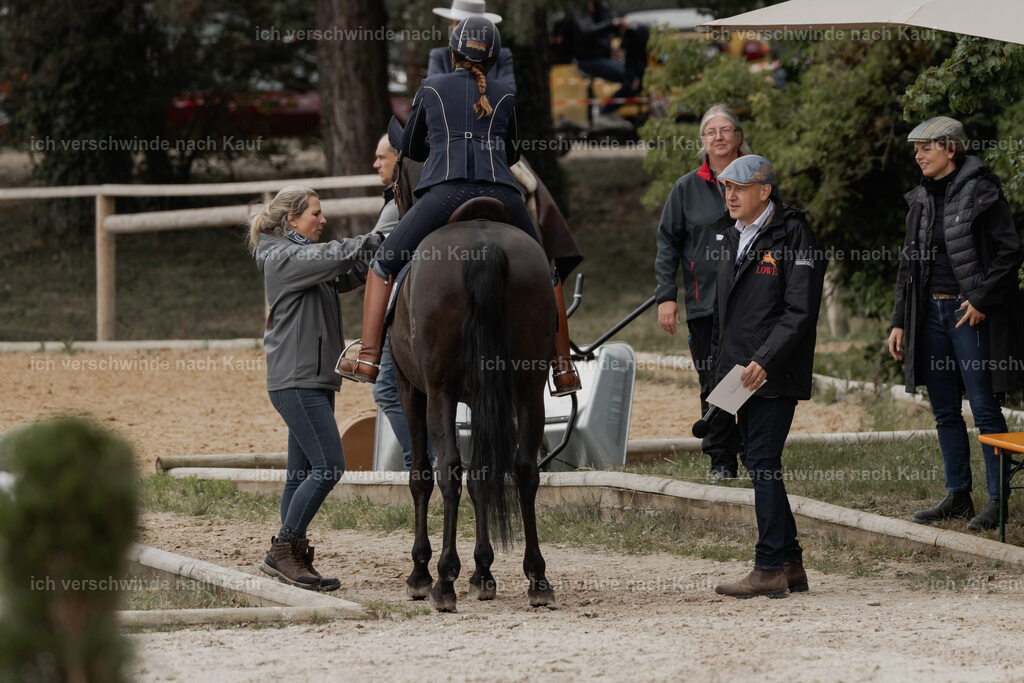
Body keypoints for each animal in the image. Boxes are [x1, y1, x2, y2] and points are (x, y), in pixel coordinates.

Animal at [387, 197, 558, 613]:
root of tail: (483, 245)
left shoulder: (411, 390)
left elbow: (421, 476)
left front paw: (421, 573)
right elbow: (483, 476)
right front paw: (483, 573)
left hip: (439, 393)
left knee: (448, 471)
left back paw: (442, 582)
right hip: (528, 391)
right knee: (525, 470)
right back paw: (538, 579)